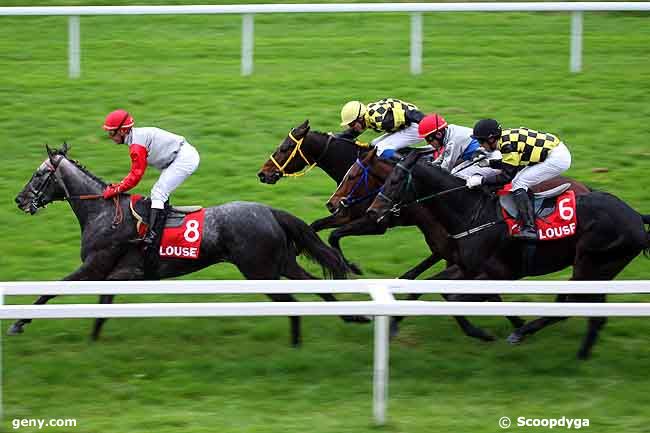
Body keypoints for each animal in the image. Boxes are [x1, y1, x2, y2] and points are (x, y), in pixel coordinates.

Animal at [11, 143, 364, 346]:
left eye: (39, 174)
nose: (19, 200)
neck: (104, 213)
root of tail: (269, 211)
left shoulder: (94, 267)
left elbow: (53, 288)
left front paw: (18, 323)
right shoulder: (113, 275)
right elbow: (102, 307)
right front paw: (94, 340)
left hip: (260, 270)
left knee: (291, 302)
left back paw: (297, 340)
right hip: (282, 264)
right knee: (315, 286)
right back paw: (353, 317)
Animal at [364, 152, 648, 358]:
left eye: (394, 181)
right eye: (385, 179)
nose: (372, 211)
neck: (473, 213)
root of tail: (636, 216)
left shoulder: (496, 273)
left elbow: (455, 299)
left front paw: (485, 332)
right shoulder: (465, 268)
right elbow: (432, 289)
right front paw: (393, 324)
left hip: (591, 267)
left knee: (573, 309)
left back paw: (534, 337)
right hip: (598, 270)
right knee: (587, 312)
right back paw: (575, 350)